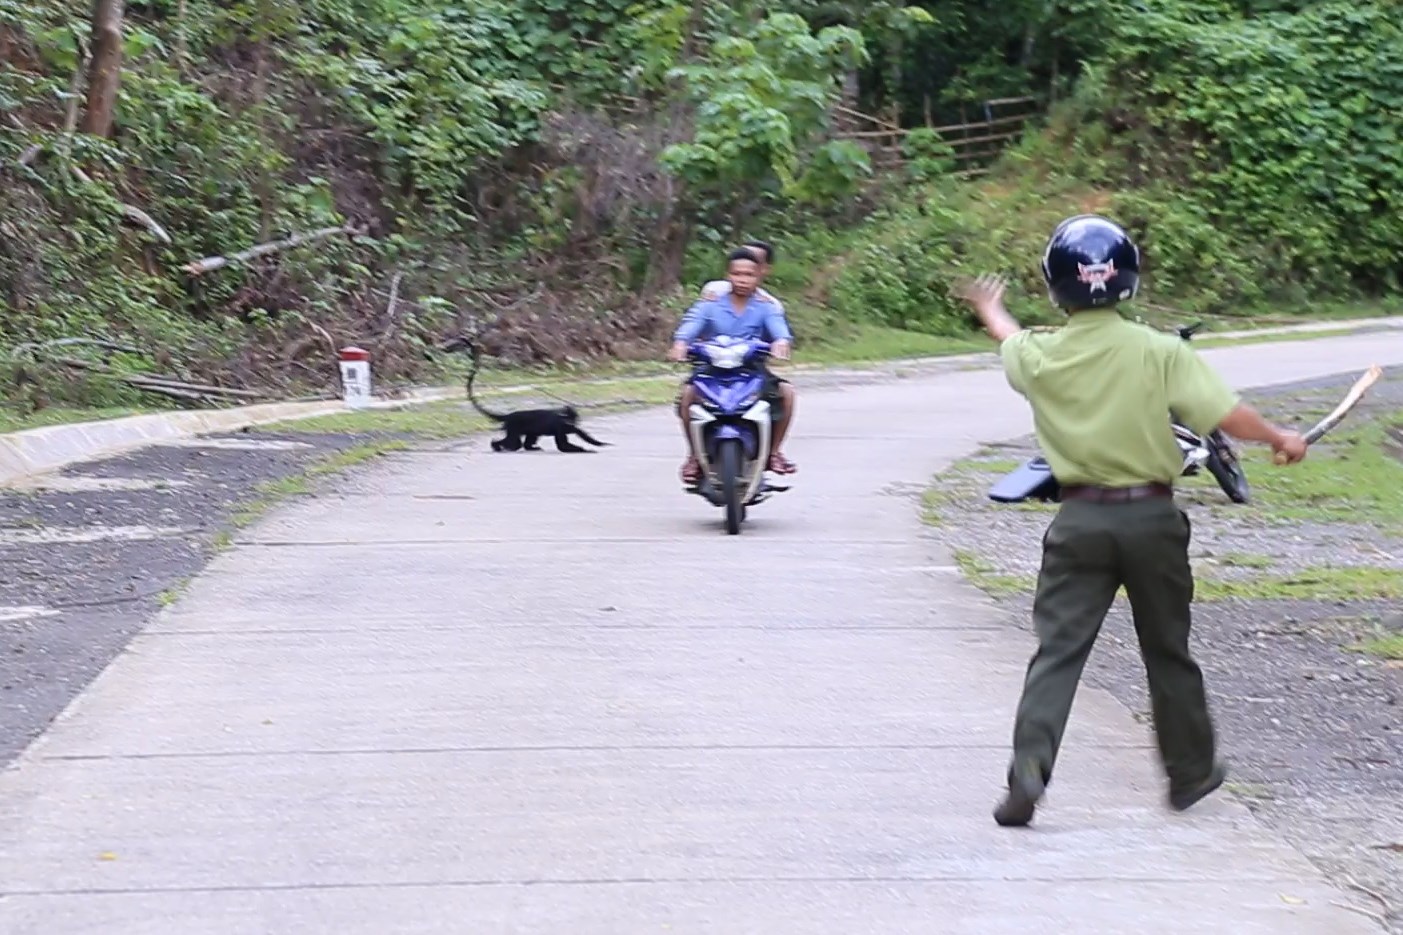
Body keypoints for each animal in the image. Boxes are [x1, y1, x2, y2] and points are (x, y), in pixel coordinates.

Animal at [454, 336, 614, 452]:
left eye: (574, 420)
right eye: (568, 421)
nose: (571, 425)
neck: (563, 419)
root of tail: (509, 415)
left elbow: (585, 437)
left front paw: (601, 444)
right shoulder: (560, 427)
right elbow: (562, 446)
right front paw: (585, 450)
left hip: (524, 429)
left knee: (527, 439)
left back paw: (527, 447)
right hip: (513, 427)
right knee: (513, 442)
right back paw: (497, 446)